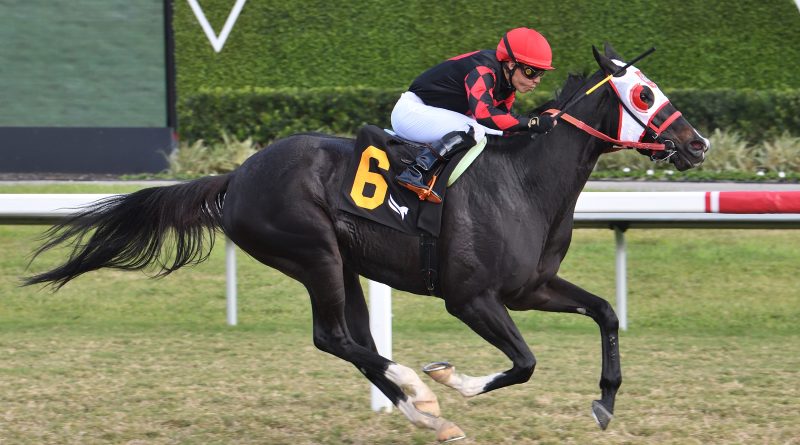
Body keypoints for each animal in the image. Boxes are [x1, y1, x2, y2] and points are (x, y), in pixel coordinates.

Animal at [25, 44, 709, 442]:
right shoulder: (471, 298)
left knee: (355, 342)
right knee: (334, 338)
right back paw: (420, 391)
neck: (523, 181)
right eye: (644, 93)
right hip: (314, 254)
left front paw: (606, 400)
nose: (697, 143)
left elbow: (605, 312)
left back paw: (421, 411)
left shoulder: (530, 287)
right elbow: (524, 362)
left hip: (345, 265)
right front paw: (449, 378)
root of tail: (237, 176)